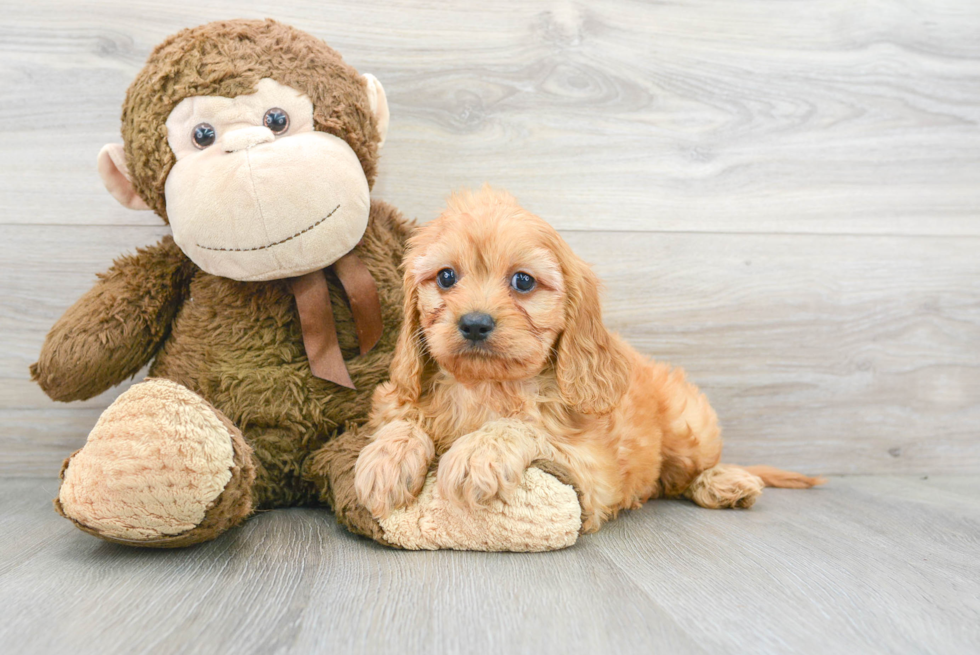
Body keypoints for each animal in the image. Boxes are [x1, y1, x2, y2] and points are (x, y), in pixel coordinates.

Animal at [356, 186, 824, 532]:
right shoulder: (393, 400)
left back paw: (725, 481)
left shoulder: (592, 472)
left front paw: (478, 452)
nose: (474, 323)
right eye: (446, 277)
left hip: (690, 426)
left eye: (523, 281)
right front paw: (386, 459)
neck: (486, 386)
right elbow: (403, 420)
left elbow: (524, 427)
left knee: (692, 472)